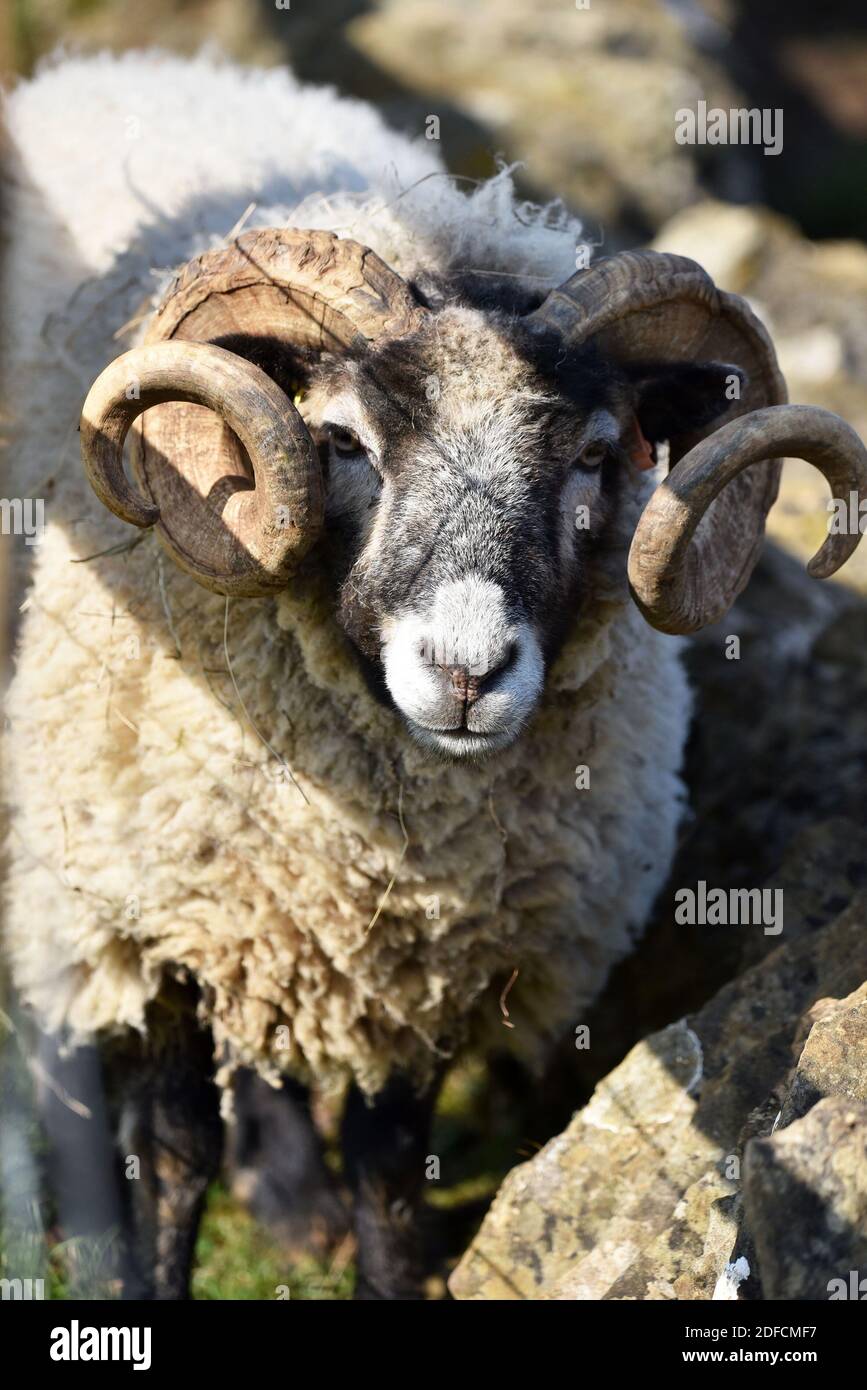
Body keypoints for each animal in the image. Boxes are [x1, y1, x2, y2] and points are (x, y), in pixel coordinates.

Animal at [3, 48, 861, 1295]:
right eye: (343, 442)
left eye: (595, 455)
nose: (466, 670)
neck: (380, 837)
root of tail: (126, 65)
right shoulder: (148, 910)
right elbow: (165, 1156)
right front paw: (137, 1267)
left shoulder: (422, 964)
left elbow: (391, 1177)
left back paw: (290, 1197)